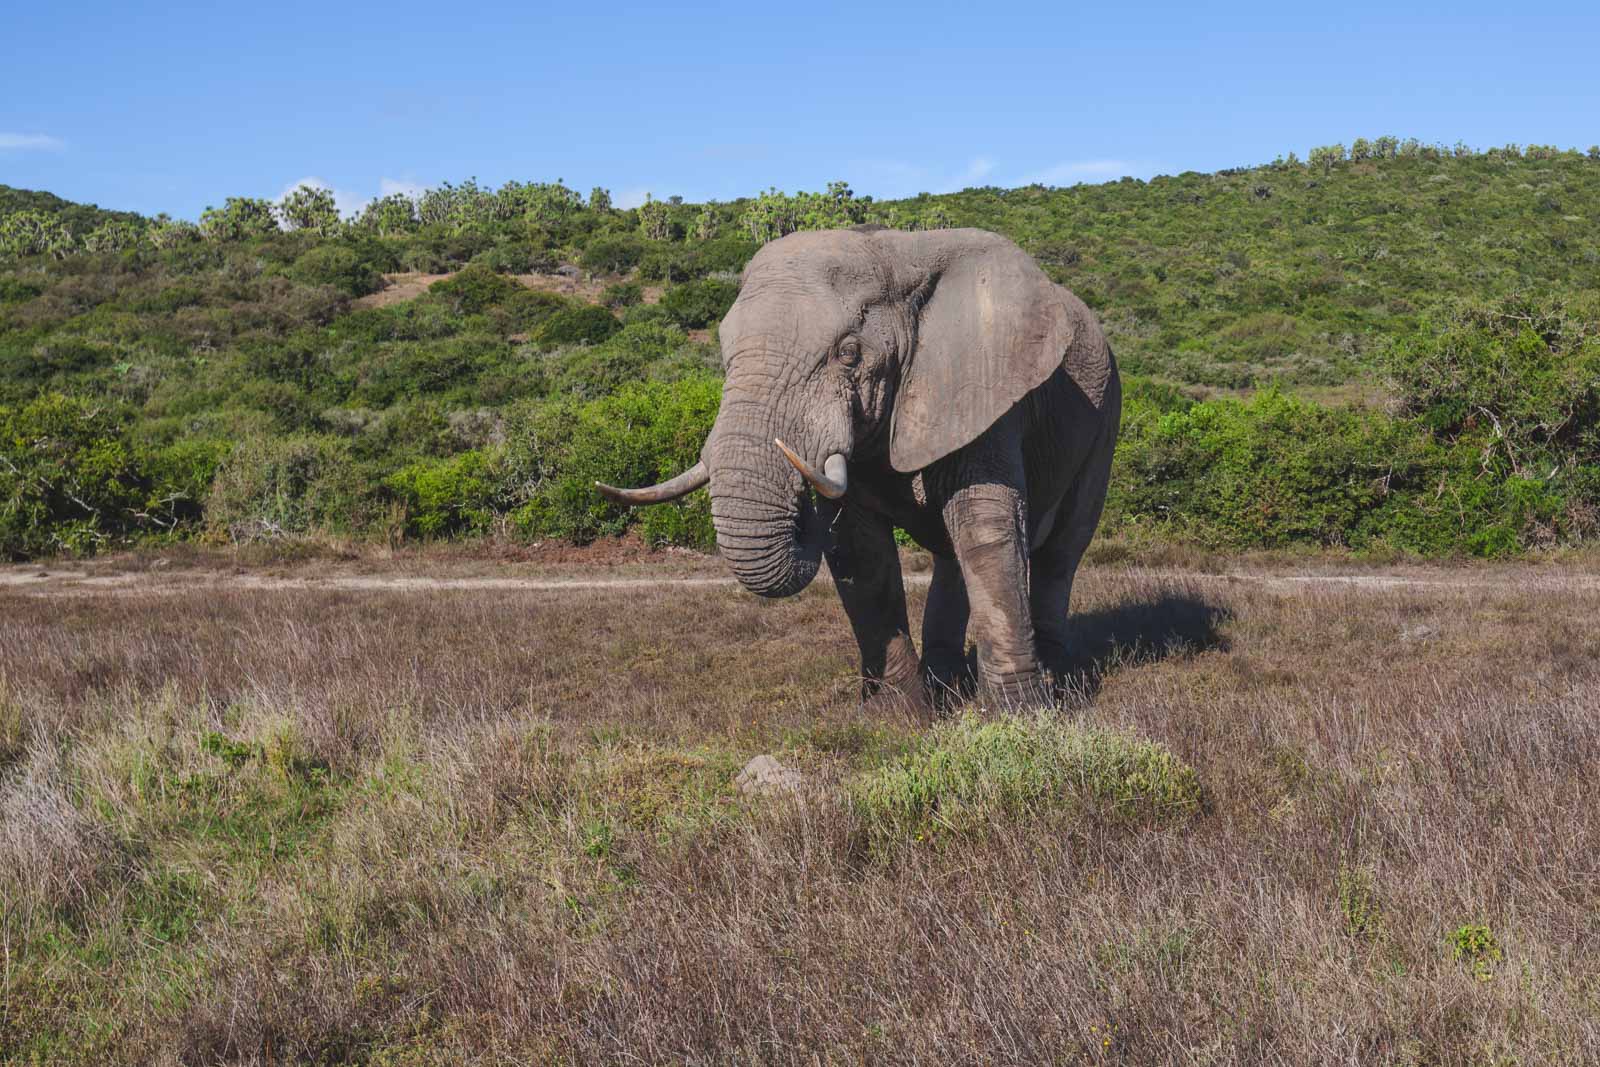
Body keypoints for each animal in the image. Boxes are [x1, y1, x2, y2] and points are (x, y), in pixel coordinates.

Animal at [601, 227, 1126, 710]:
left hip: (1106, 413)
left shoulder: (981, 387)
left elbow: (986, 531)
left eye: (848, 353)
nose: (803, 511)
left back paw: (1061, 682)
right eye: (725, 354)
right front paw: (896, 717)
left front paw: (1022, 716)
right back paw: (947, 688)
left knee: (1061, 549)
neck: (895, 254)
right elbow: (859, 551)